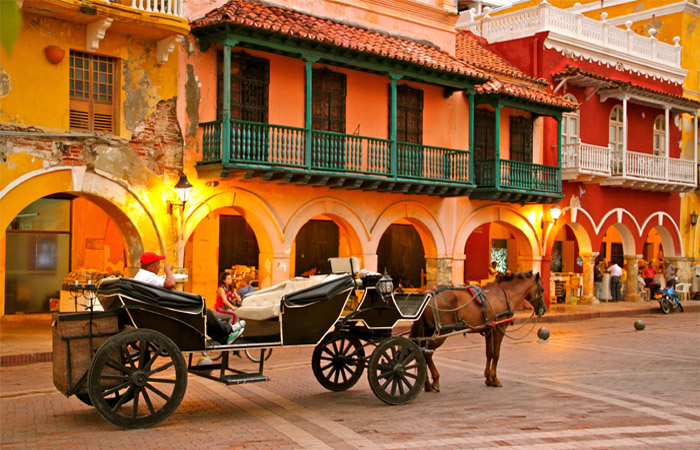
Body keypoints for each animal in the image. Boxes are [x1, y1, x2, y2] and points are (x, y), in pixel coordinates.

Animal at [410, 270, 548, 390]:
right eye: (542, 289)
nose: (544, 309)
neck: (504, 294)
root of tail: (428, 294)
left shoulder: (489, 329)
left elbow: (489, 353)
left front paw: (488, 378)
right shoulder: (500, 328)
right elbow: (496, 354)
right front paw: (495, 379)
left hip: (428, 331)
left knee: (421, 351)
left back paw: (426, 383)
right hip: (441, 333)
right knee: (427, 353)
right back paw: (435, 380)